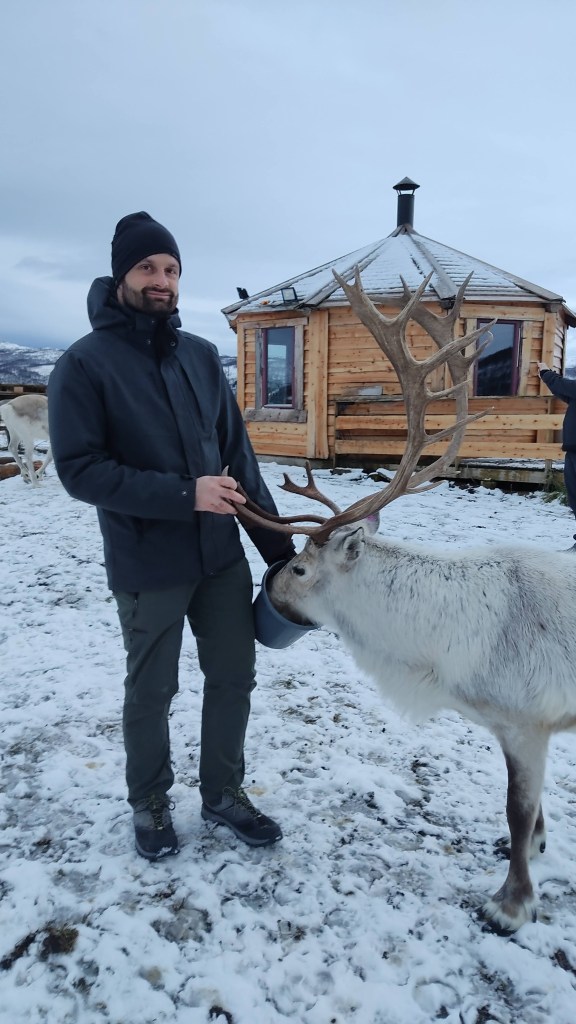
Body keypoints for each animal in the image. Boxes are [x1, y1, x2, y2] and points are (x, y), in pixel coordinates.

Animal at [235, 268, 576, 935]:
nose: (268, 585)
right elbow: (534, 809)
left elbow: (517, 809)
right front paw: (538, 851)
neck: (438, 649)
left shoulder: (527, 720)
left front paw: (511, 903)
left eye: (301, 567)